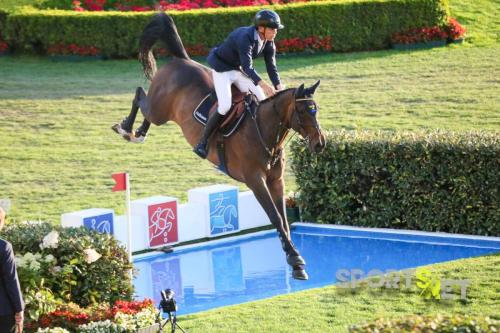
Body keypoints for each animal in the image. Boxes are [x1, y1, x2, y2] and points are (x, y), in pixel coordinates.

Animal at [111, 11, 326, 278]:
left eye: (316, 110)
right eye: (303, 111)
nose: (320, 144)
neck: (265, 132)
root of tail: (181, 60)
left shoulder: (276, 180)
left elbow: (284, 220)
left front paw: (293, 258)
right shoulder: (256, 180)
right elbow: (275, 217)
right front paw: (295, 259)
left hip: (160, 110)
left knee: (144, 102)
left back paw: (138, 132)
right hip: (160, 109)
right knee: (140, 94)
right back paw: (127, 129)